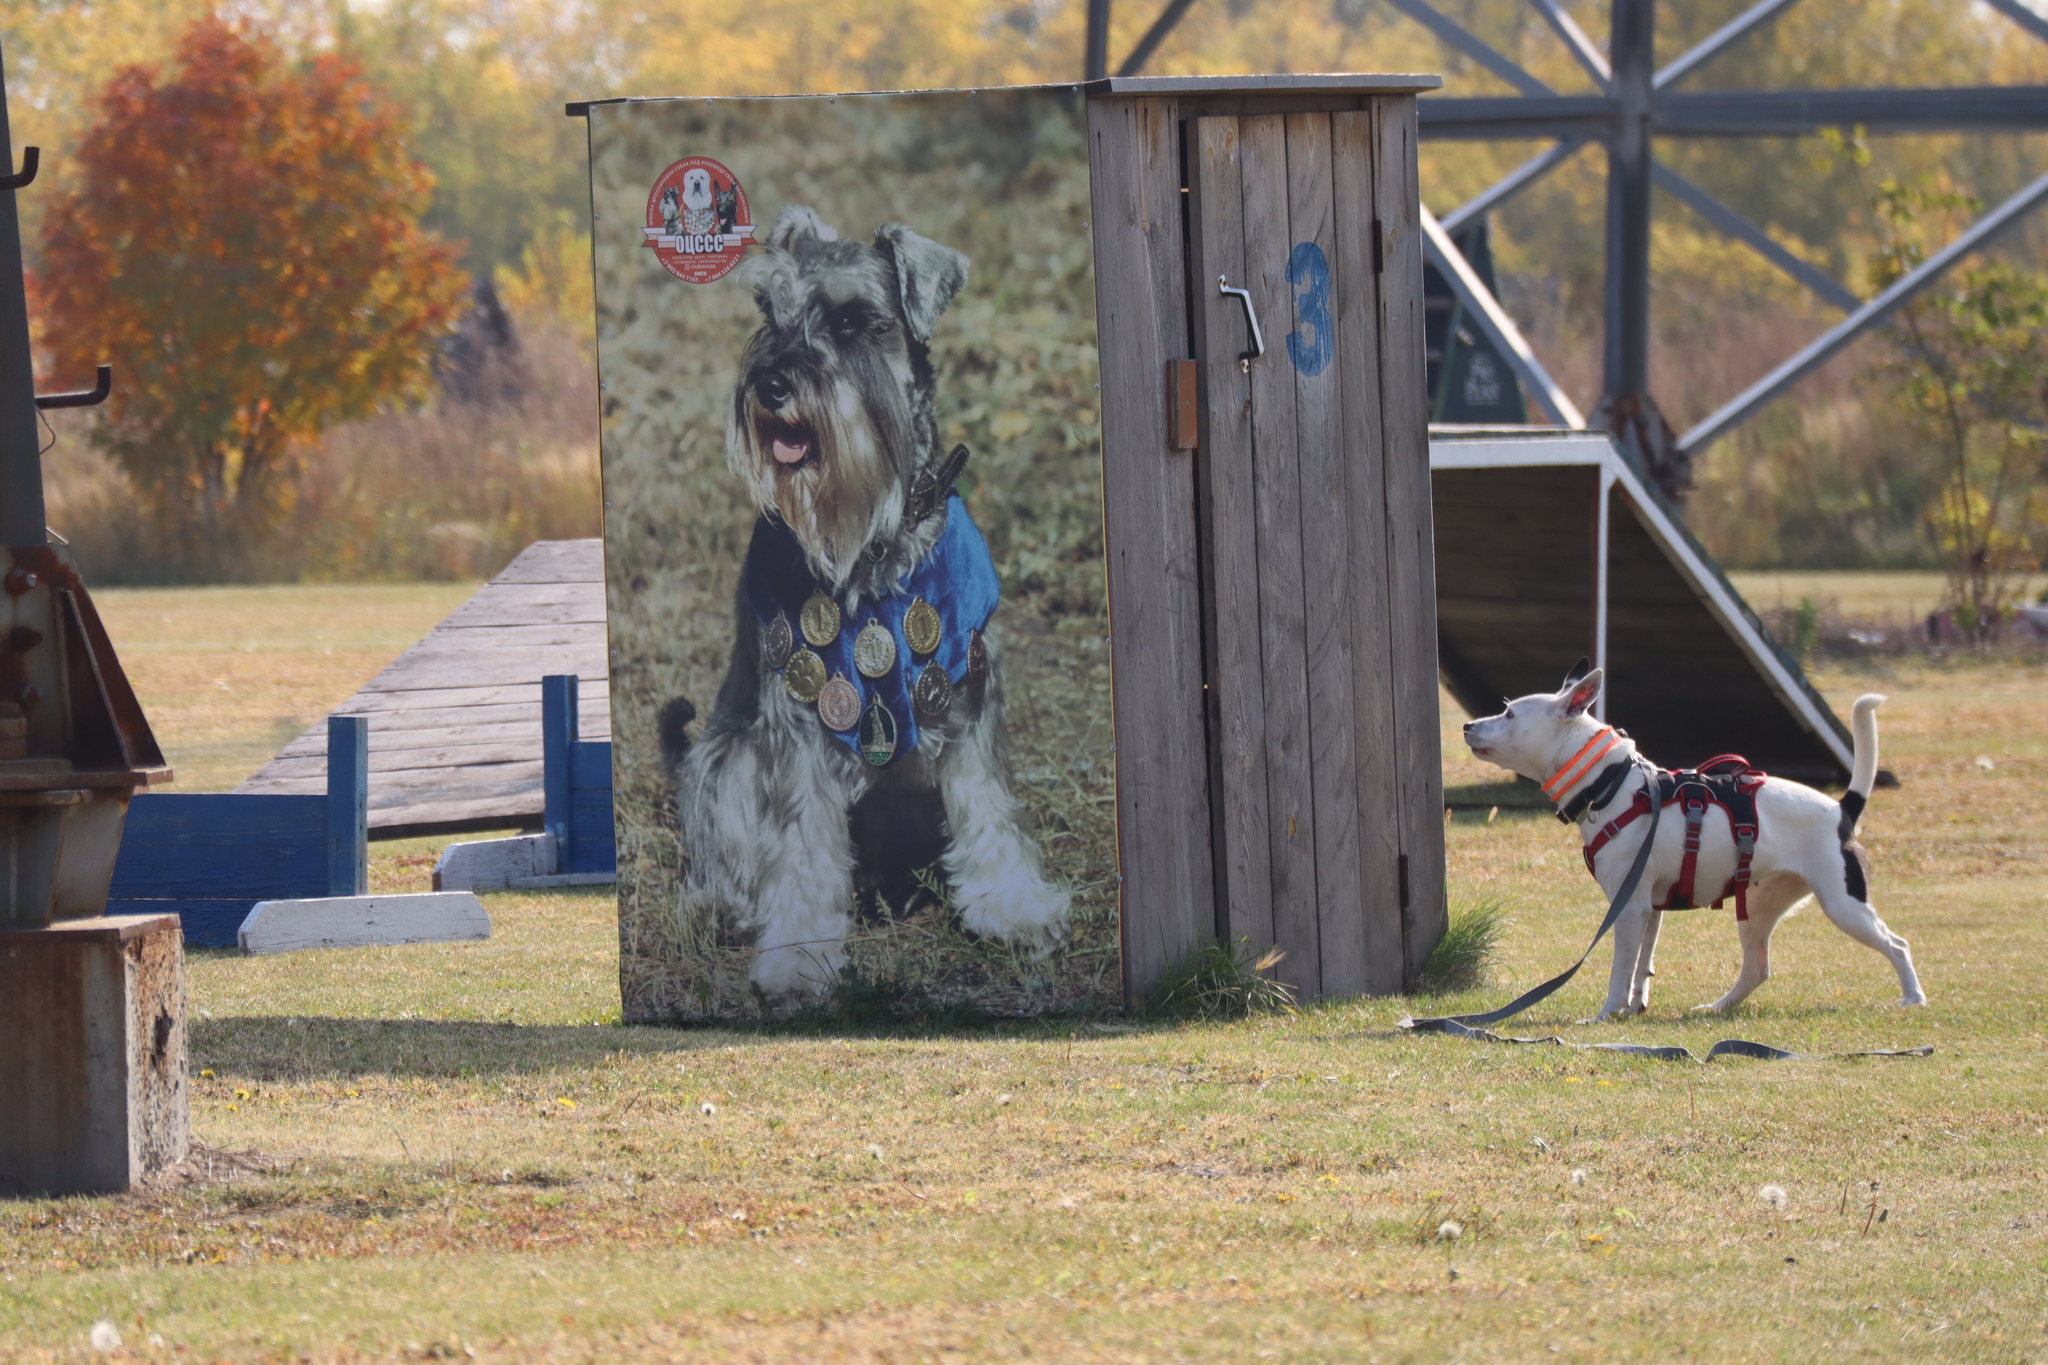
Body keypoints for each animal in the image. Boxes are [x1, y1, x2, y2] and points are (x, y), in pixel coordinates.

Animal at [667, 205, 1073, 1002]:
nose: (769, 383)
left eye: (855, 320)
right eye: (769, 312)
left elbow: (989, 806)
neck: (874, 544)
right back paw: (721, 906)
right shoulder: (795, 723)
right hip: (724, 760)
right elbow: (799, 844)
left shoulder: (968, 691)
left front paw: (1014, 907)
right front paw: (797, 954)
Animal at [1458, 667, 1916, 1019]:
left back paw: (1913, 997)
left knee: (1897, 945)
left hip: (1843, 905)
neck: (1611, 784)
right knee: (1756, 971)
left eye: (1509, 712)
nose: (1466, 726)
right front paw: (1634, 1007)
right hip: (1758, 908)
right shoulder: (1651, 908)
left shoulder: (1629, 908)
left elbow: (1621, 969)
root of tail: (1842, 811)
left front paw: (1607, 1012)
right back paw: (1718, 1007)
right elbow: (1642, 966)